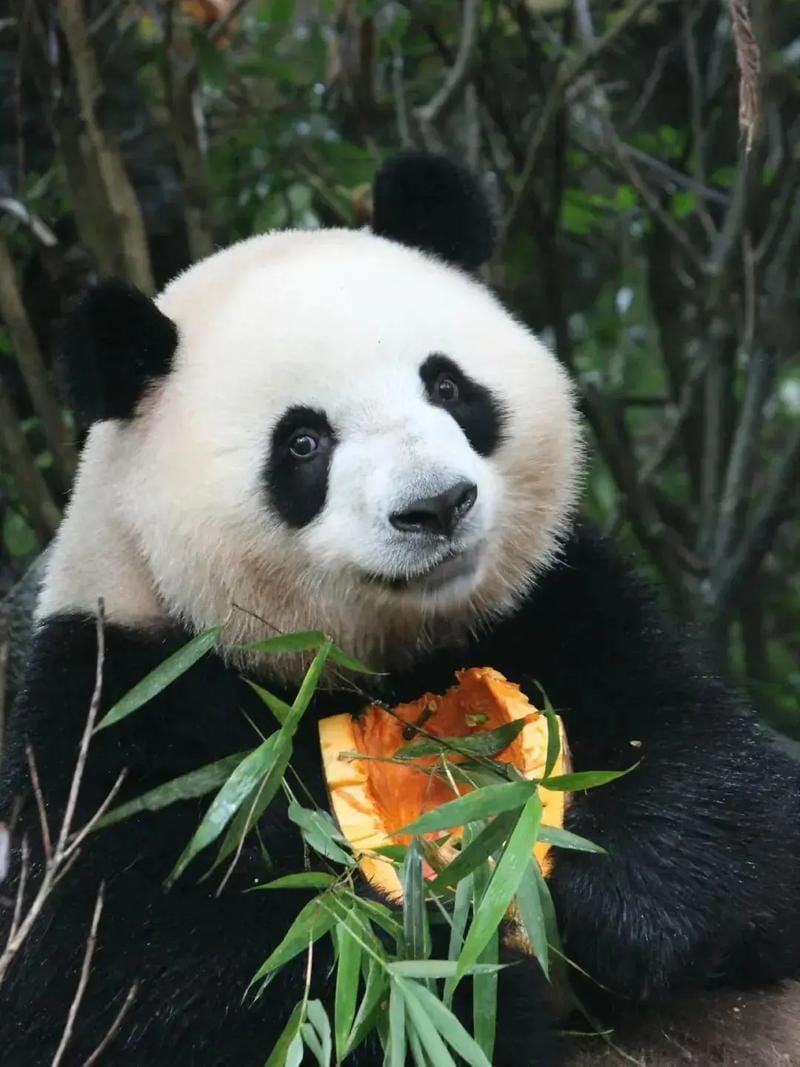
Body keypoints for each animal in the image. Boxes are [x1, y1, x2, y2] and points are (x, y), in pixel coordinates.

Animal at [1, 152, 799, 1067]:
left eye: (447, 385)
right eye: (304, 442)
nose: (437, 505)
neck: (390, 653)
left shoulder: (561, 599)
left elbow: (729, 784)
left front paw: (596, 892)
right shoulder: (124, 702)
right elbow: (147, 971)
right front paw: (448, 979)